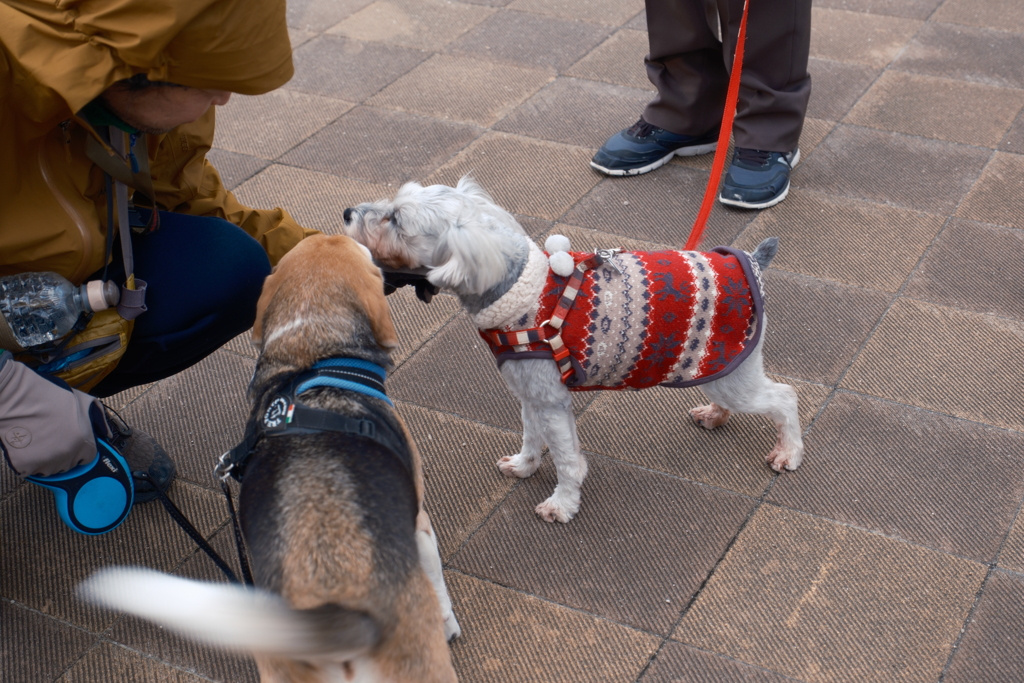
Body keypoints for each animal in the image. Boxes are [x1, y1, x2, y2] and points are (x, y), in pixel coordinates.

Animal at [344, 176, 798, 524]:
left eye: (396, 220)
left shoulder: (550, 400)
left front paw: (561, 505)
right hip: (718, 368)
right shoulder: (531, 393)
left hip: (735, 376)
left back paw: (788, 453)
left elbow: (566, 458)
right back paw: (715, 416)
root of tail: (750, 262)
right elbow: (531, 436)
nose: (347, 212)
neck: (518, 293)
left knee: (785, 397)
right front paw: (524, 466)